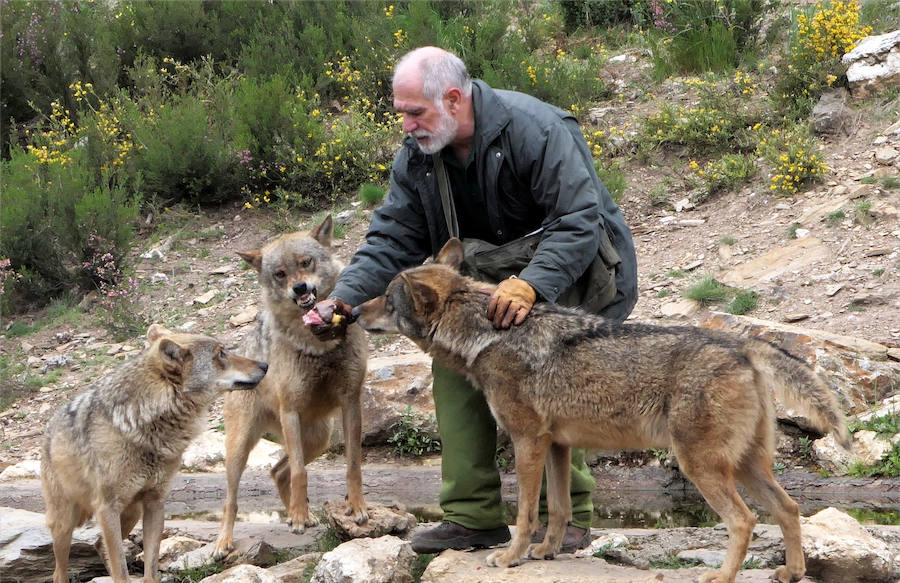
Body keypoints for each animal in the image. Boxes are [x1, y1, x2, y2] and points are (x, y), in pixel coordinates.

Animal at [41, 324, 268, 583]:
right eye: (221, 353)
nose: (265, 365)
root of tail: (49, 428)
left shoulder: (155, 502)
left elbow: (150, 566)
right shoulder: (107, 508)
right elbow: (121, 570)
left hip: (131, 513)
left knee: (98, 544)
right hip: (65, 524)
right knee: (60, 571)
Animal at [213, 216, 368, 560]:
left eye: (305, 262)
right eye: (280, 274)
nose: (299, 288)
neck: (317, 348)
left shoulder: (351, 403)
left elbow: (353, 464)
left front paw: (357, 507)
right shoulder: (291, 410)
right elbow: (300, 473)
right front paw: (297, 516)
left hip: (320, 438)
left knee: (276, 471)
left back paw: (304, 516)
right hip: (240, 450)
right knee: (232, 499)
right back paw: (225, 542)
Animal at [354, 237, 852, 583]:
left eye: (387, 299)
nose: (354, 310)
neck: (485, 335)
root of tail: (741, 343)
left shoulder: (527, 442)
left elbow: (524, 516)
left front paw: (511, 557)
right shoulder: (555, 446)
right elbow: (557, 510)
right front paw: (547, 552)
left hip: (701, 466)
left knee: (744, 520)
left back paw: (723, 576)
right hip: (747, 466)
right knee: (789, 509)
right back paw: (792, 572)